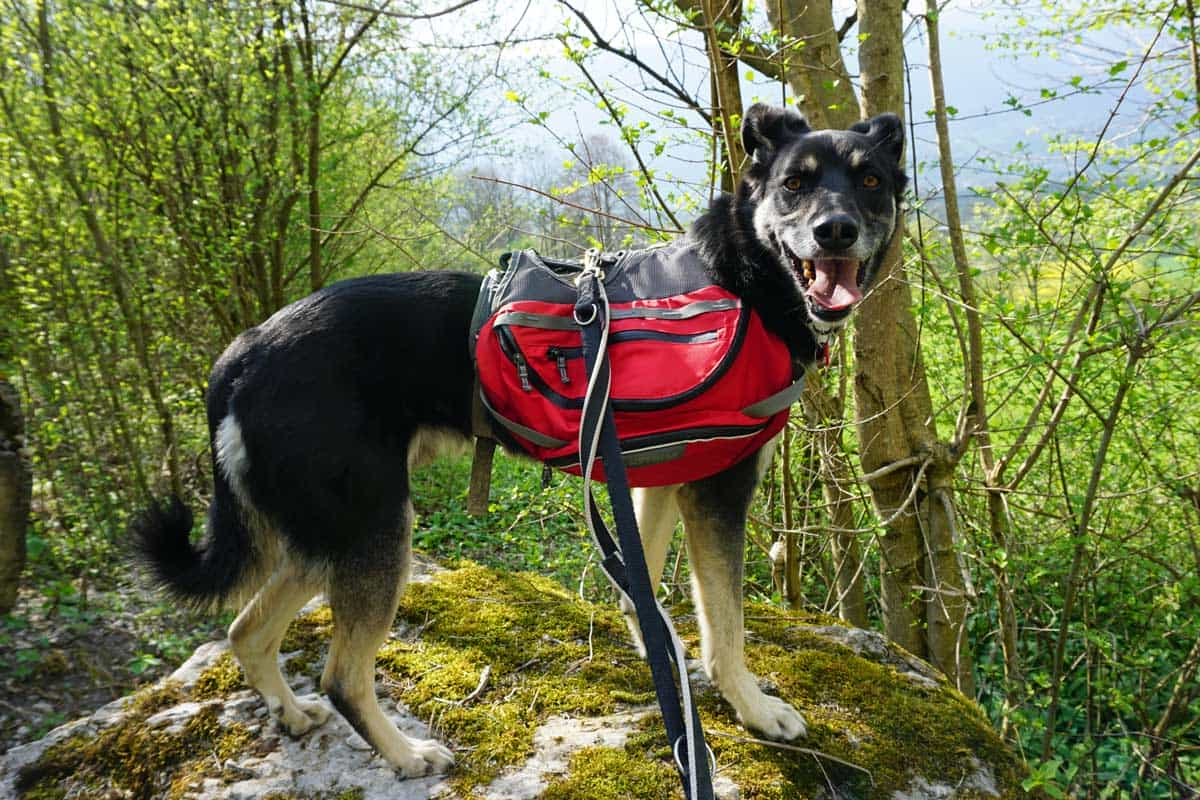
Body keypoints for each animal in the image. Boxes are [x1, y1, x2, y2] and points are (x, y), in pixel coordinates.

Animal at [133, 103, 902, 777]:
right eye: (794, 184)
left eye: (869, 181)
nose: (835, 231)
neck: (743, 276)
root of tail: (242, 353)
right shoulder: (717, 492)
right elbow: (726, 623)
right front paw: (752, 707)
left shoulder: (653, 481)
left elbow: (644, 585)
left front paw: (658, 653)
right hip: (375, 529)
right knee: (343, 676)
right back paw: (407, 755)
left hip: (330, 534)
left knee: (245, 630)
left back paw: (291, 713)